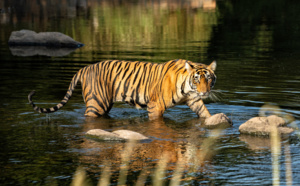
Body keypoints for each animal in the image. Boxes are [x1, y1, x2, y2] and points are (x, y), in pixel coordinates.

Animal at [27, 59, 216, 120]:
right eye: (197, 79)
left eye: (209, 79)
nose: (205, 92)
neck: (187, 87)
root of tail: (84, 68)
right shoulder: (155, 106)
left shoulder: (194, 99)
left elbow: (204, 112)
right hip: (97, 104)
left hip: (104, 104)